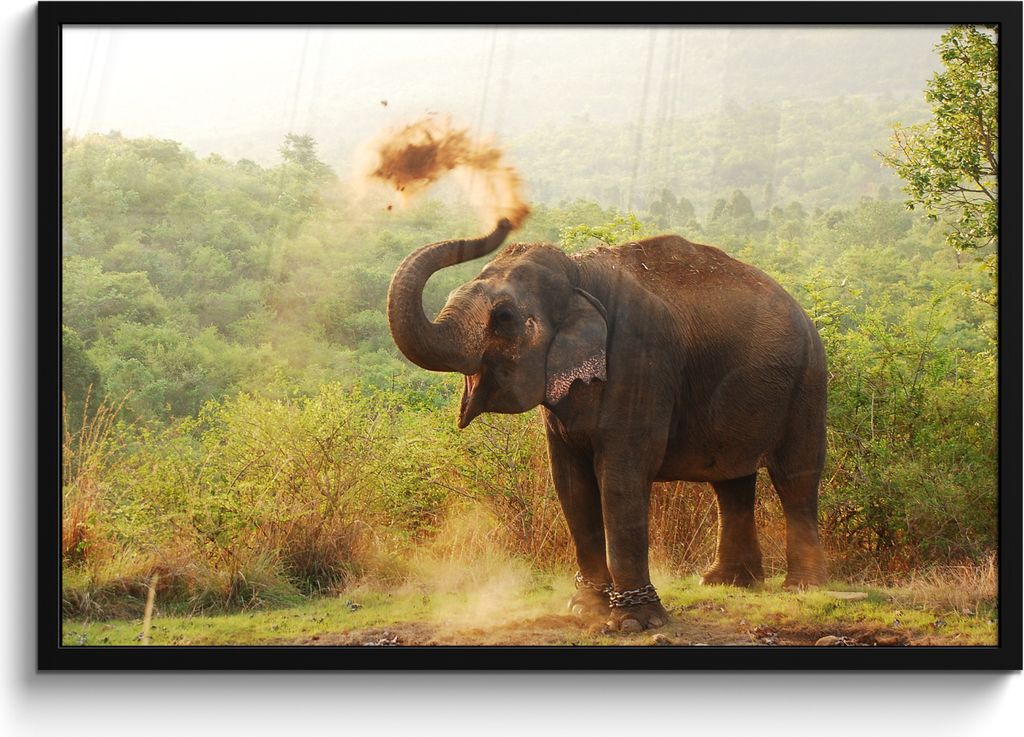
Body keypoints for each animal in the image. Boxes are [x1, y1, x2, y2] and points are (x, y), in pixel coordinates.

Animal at [386, 218, 828, 632]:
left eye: (505, 318)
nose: (504, 220)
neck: (578, 274)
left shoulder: (639, 361)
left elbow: (620, 479)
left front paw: (633, 622)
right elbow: (570, 483)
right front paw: (586, 608)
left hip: (808, 380)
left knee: (796, 477)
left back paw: (802, 587)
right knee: (731, 482)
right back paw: (726, 583)